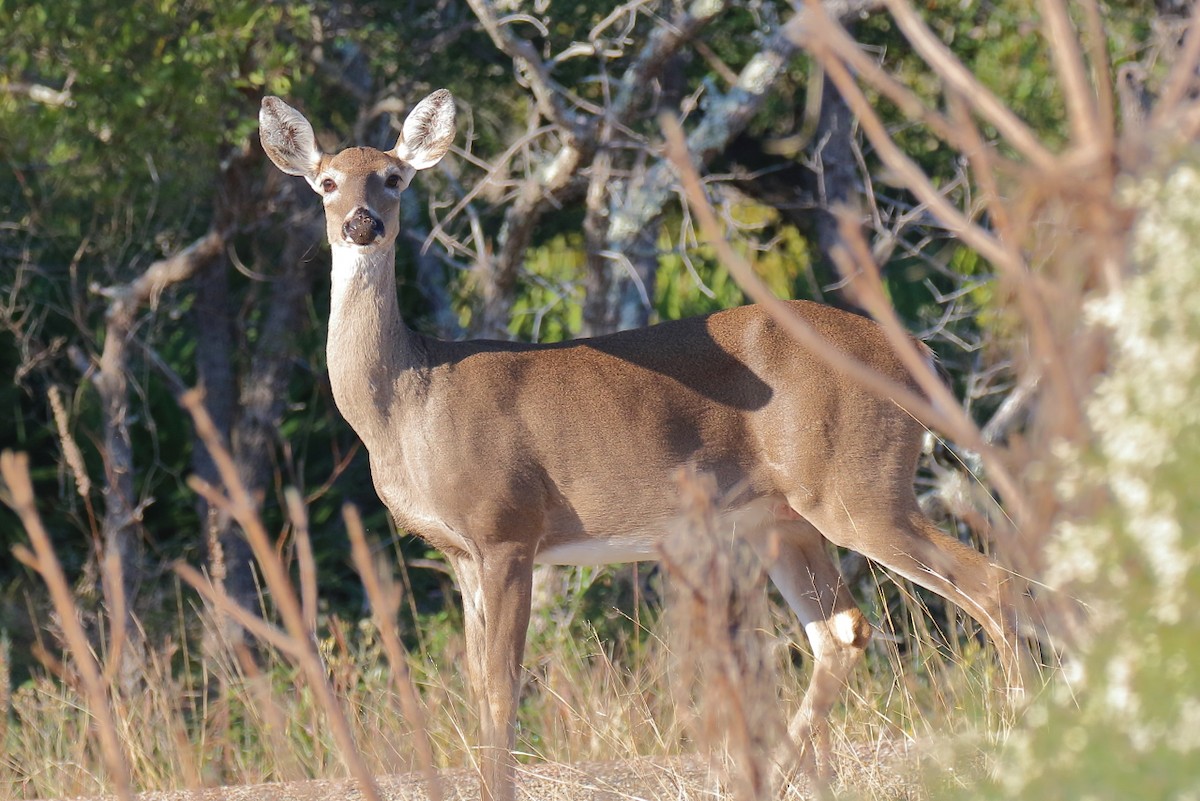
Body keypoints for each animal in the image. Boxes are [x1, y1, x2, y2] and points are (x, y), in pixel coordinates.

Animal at [258, 89, 1025, 801]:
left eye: (394, 177)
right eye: (326, 181)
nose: (362, 223)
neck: (409, 401)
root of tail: (918, 352)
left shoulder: (506, 527)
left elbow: (503, 690)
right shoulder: (460, 553)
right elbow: (477, 690)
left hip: (857, 485)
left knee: (991, 584)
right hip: (783, 515)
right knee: (842, 630)